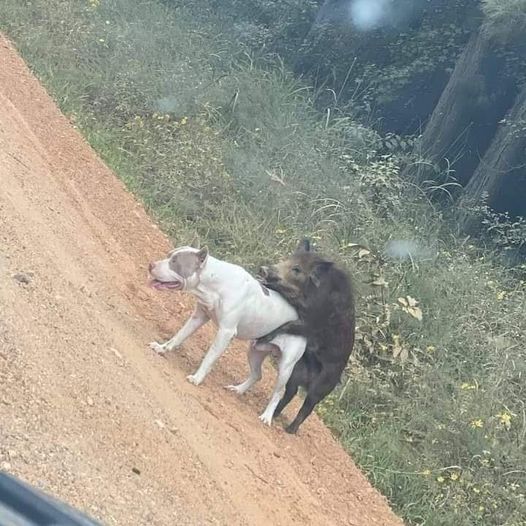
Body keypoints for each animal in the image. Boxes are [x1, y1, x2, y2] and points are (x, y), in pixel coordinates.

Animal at [148, 245, 308, 426]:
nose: (151, 265)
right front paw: (162, 348)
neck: (214, 283)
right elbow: (178, 336)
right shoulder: (199, 316)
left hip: (286, 366)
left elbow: (209, 357)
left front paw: (197, 377)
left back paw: (267, 416)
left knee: (278, 392)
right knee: (257, 374)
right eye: (169, 256)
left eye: (175, 261)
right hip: (255, 350)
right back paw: (237, 389)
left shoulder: (225, 332)